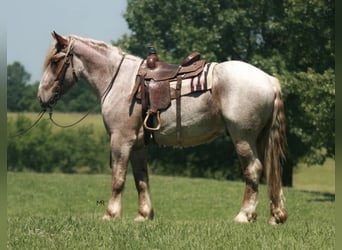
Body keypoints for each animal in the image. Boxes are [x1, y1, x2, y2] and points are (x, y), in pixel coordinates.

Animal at [37, 31, 288, 225]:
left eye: (55, 61)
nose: (42, 97)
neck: (119, 81)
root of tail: (268, 80)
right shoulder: (138, 145)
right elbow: (141, 178)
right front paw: (143, 215)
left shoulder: (121, 140)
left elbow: (118, 179)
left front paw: (111, 214)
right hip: (260, 139)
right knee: (269, 170)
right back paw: (276, 216)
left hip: (243, 138)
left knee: (253, 170)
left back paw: (244, 216)